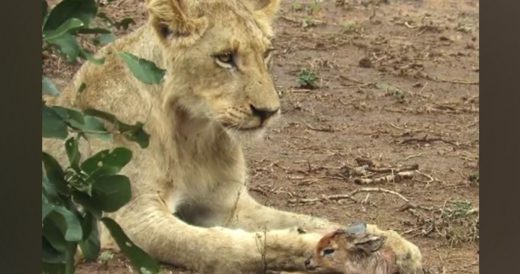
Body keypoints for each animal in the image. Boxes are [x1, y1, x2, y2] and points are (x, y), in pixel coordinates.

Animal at [41, 0, 422, 272]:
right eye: (225, 57)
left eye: (267, 53)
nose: (269, 111)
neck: (193, 131)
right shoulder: (132, 219)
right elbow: (226, 247)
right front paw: (315, 248)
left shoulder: (228, 204)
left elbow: (307, 218)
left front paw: (392, 242)